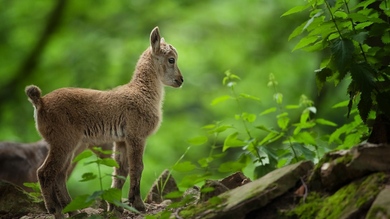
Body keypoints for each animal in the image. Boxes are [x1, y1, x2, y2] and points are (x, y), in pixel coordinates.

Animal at [25, 27, 184, 217]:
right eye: (171, 59)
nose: (180, 80)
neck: (142, 93)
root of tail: (40, 102)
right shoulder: (136, 136)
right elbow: (137, 167)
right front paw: (138, 205)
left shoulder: (121, 140)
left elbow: (120, 172)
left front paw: (114, 207)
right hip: (63, 141)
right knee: (45, 172)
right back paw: (56, 210)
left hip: (72, 144)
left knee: (60, 174)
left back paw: (73, 210)